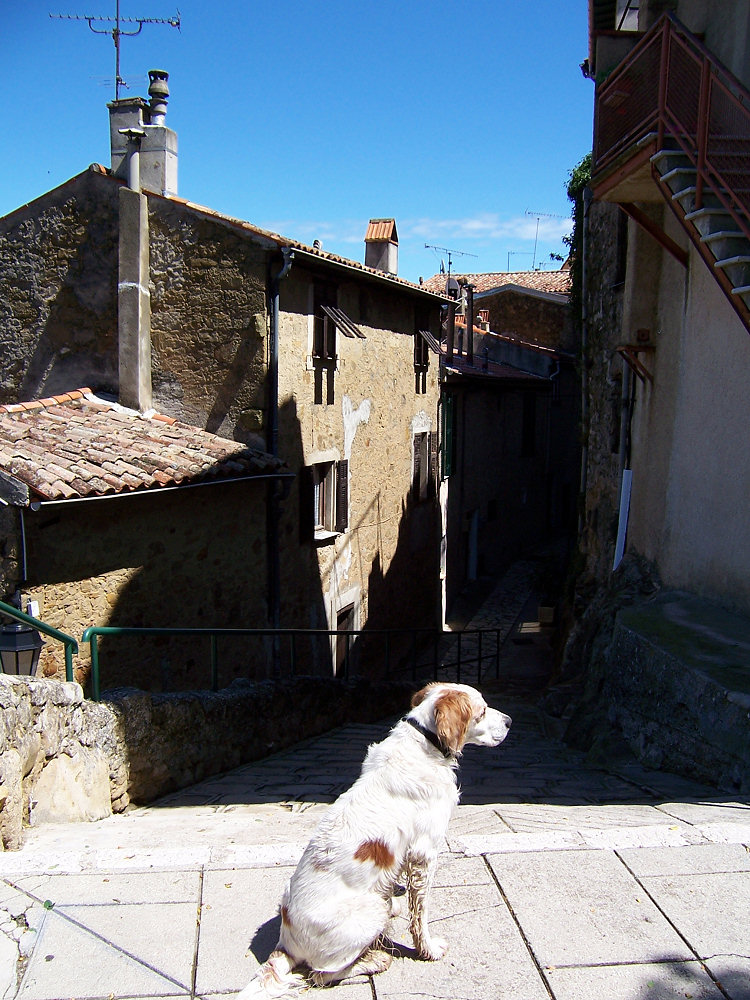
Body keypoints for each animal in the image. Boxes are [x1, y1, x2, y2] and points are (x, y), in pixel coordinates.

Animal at [238, 684, 516, 996]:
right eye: (482, 711)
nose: (509, 721)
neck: (425, 744)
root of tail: (285, 942)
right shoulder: (424, 852)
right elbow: (420, 914)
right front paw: (429, 950)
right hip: (368, 912)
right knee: (320, 974)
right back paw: (375, 960)